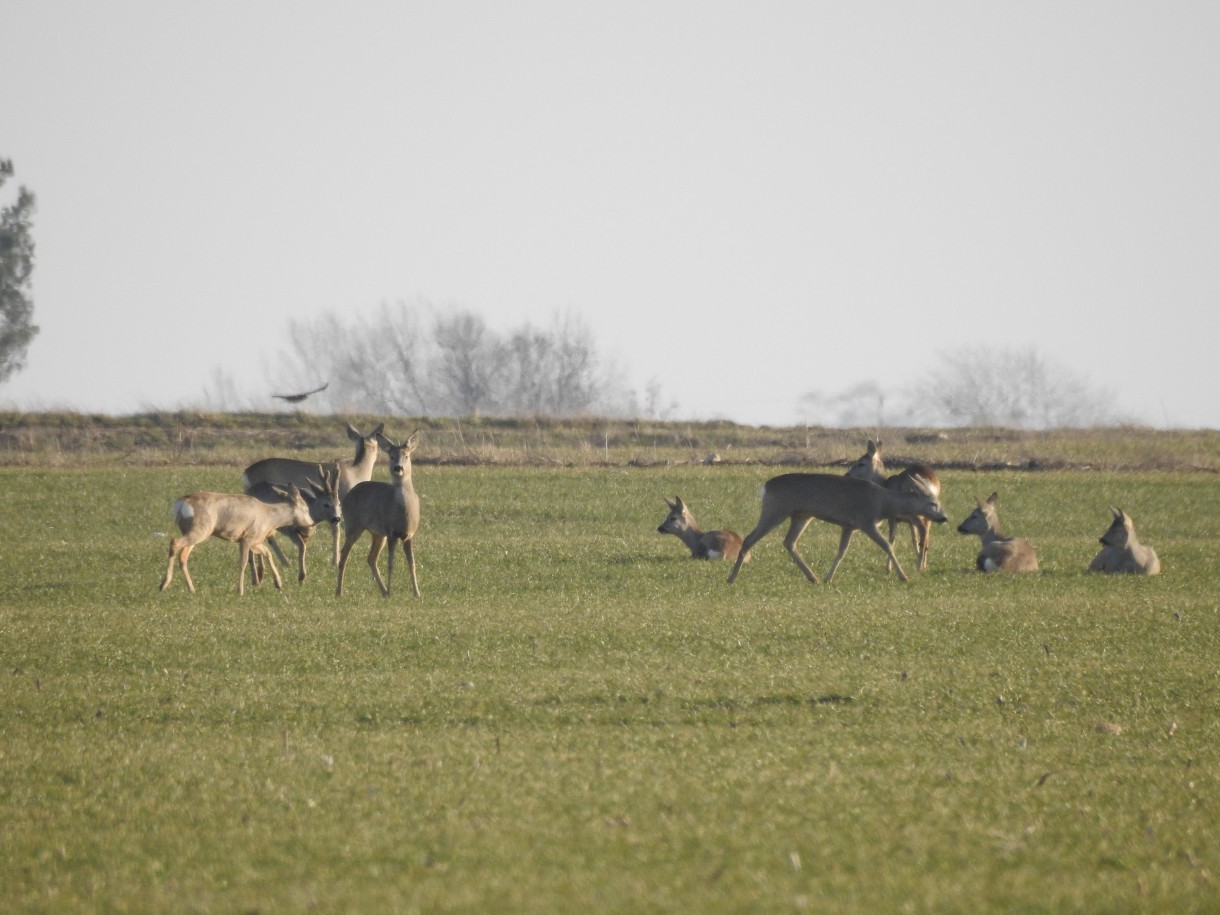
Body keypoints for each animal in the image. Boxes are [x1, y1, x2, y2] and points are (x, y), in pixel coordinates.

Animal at [158, 483, 329, 597]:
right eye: (305, 507)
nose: (310, 524)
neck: (268, 515)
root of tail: (181, 504)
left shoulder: (253, 541)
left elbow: (267, 553)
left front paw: (278, 583)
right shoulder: (247, 539)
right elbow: (243, 562)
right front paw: (240, 591)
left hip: (194, 532)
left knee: (183, 556)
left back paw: (191, 589)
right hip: (200, 530)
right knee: (174, 543)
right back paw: (163, 584)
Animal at [240, 422, 383, 566]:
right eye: (377, 445)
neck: (356, 473)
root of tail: (246, 473)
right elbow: (337, 530)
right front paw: (335, 560)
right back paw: (284, 561)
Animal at [339, 431, 424, 602]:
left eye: (406, 456)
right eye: (391, 456)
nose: (398, 467)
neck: (403, 512)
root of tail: (349, 494)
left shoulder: (408, 535)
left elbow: (412, 564)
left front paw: (417, 593)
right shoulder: (391, 532)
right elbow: (391, 564)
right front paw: (392, 591)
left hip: (377, 533)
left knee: (371, 558)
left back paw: (383, 592)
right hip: (353, 525)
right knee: (344, 554)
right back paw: (339, 591)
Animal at [727, 473, 946, 588]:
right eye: (933, 503)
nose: (944, 518)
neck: (885, 504)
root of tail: (765, 487)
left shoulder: (849, 525)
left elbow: (841, 551)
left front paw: (828, 577)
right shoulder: (866, 521)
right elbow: (887, 546)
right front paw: (903, 576)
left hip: (802, 515)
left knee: (789, 542)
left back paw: (813, 577)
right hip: (775, 510)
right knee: (749, 538)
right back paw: (731, 578)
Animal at [849, 436, 941, 573]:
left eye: (861, 463)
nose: (847, 474)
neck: (884, 485)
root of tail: (928, 482)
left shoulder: (892, 515)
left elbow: (891, 539)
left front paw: (888, 568)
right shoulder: (908, 521)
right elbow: (914, 539)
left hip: (915, 511)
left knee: (924, 532)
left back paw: (918, 567)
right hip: (928, 513)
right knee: (926, 537)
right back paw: (922, 565)